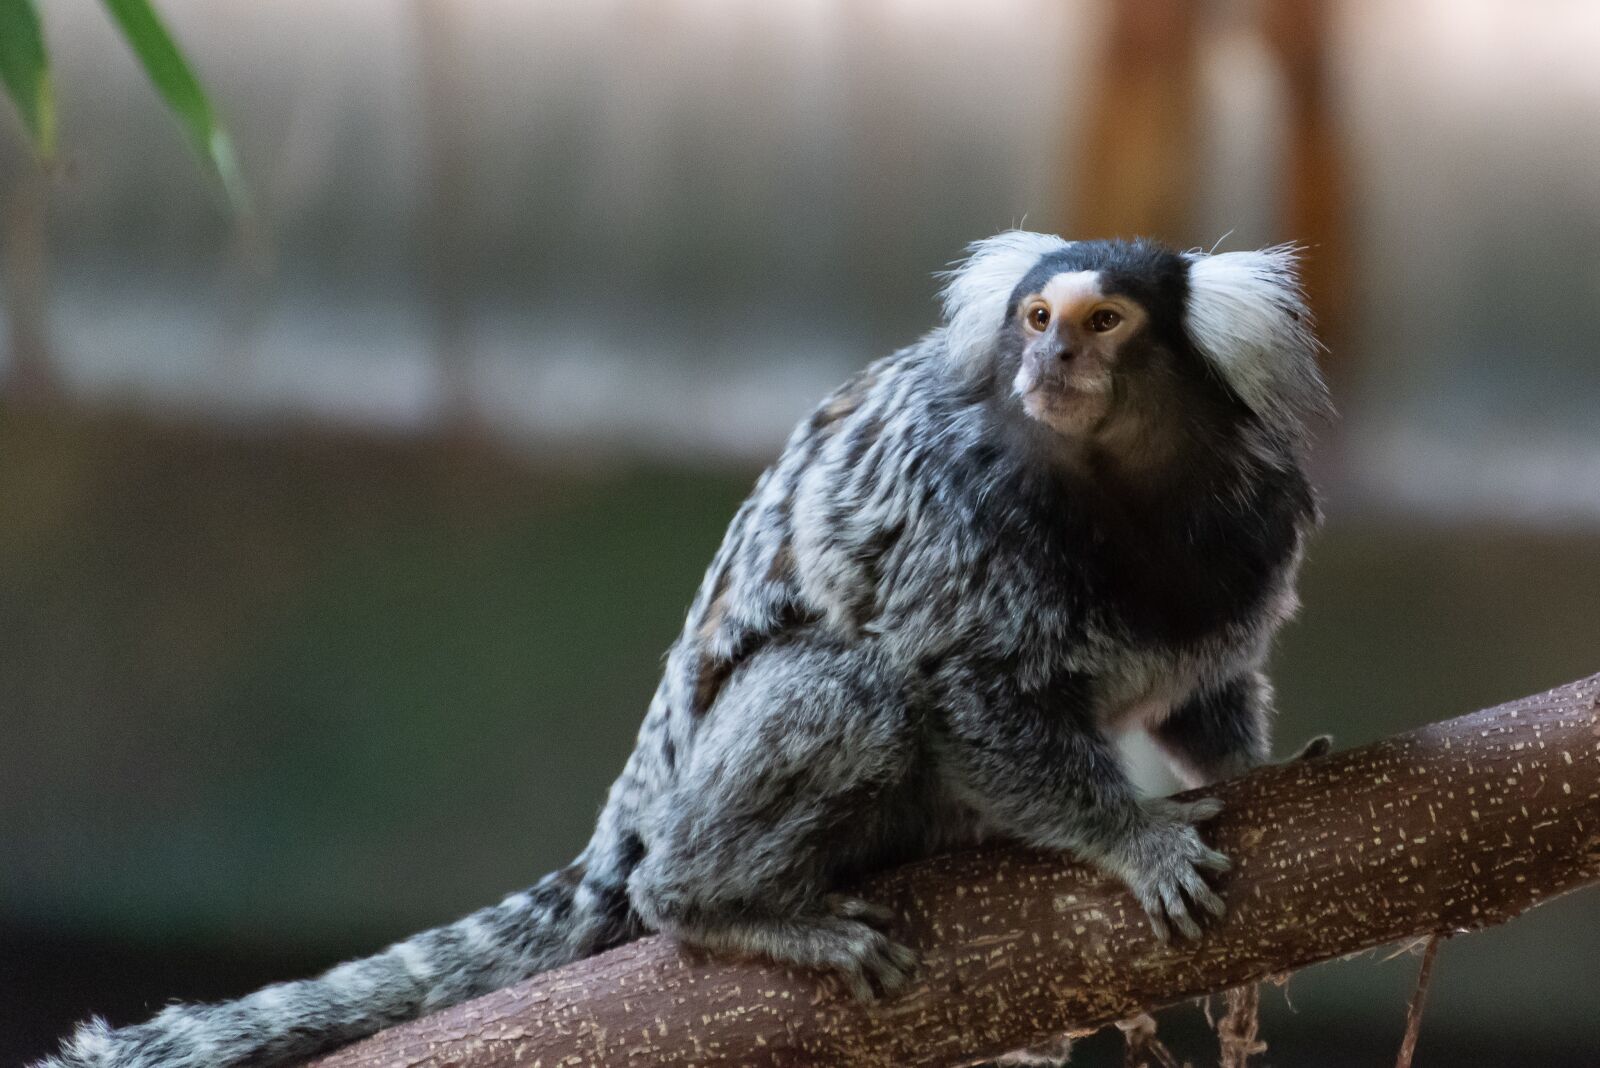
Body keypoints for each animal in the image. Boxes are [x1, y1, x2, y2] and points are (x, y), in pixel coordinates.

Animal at [39, 231, 1330, 1068]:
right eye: (1034, 318)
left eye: (1102, 321)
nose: (1051, 360)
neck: (1121, 502)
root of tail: (636, 806)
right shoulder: (962, 529)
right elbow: (965, 693)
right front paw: (1133, 838)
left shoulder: (1242, 543)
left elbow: (1204, 695)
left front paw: (1249, 769)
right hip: (709, 788)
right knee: (843, 695)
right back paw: (721, 903)